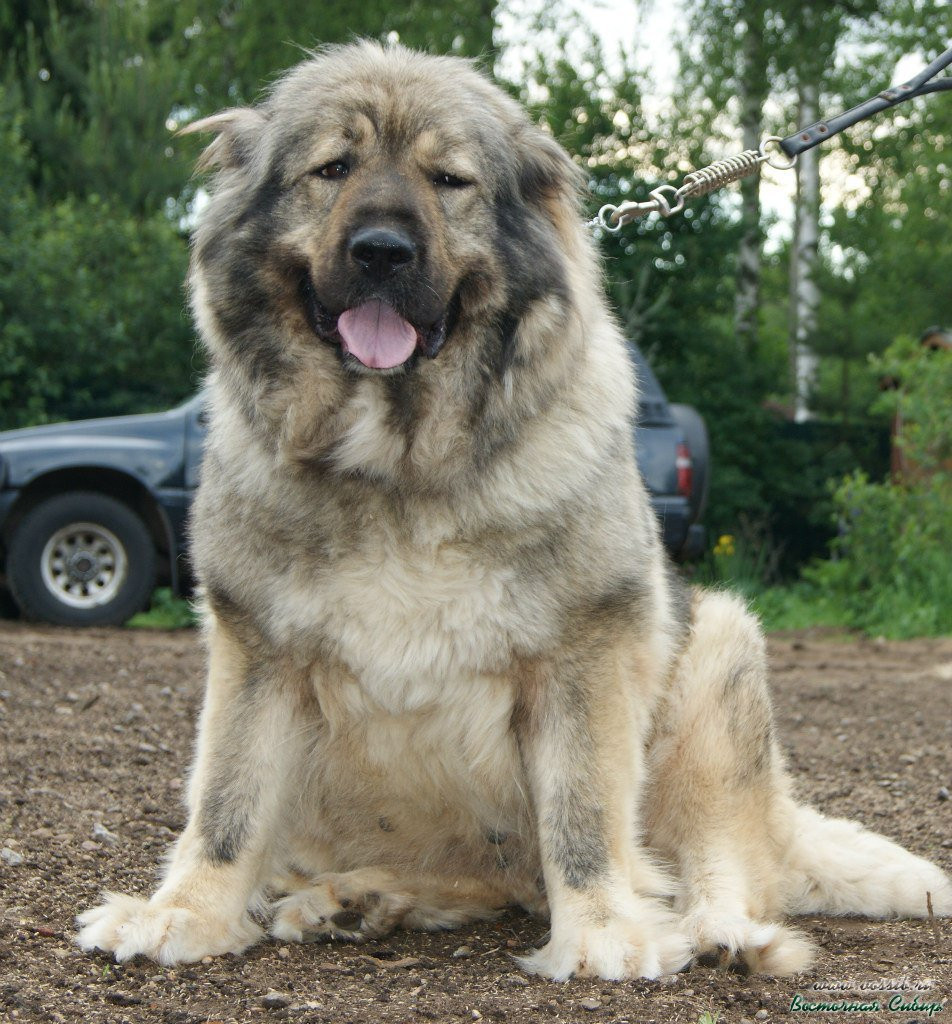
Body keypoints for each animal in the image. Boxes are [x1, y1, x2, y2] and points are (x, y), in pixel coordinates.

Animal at [76, 39, 949, 978]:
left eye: (450, 180)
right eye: (333, 168)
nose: (381, 251)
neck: (399, 465)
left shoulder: (582, 654)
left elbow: (583, 818)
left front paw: (604, 934)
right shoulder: (259, 651)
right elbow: (227, 806)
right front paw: (185, 914)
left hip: (719, 657)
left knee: (713, 859)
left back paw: (719, 934)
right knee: (493, 881)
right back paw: (362, 898)